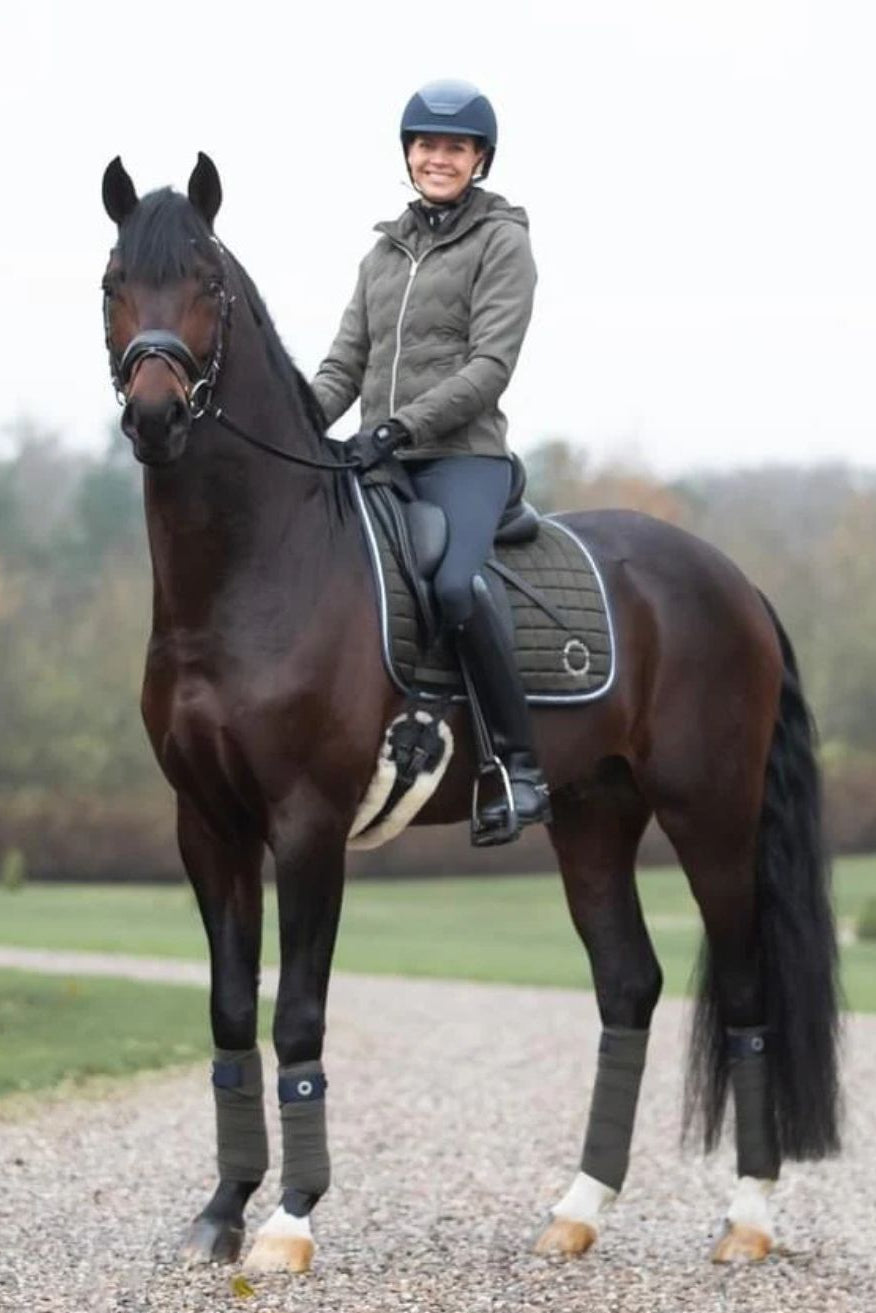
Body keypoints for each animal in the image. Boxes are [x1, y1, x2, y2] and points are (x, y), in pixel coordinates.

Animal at [100, 152, 839, 1276]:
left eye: (207, 285)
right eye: (113, 283)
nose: (155, 414)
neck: (253, 570)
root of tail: (730, 581)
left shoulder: (308, 824)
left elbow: (297, 1015)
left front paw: (290, 1219)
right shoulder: (208, 825)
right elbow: (230, 1011)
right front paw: (224, 1207)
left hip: (712, 818)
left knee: (748, 992)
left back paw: (747, 1218)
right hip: (593, 817)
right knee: (628, 985)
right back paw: (577, 1210)